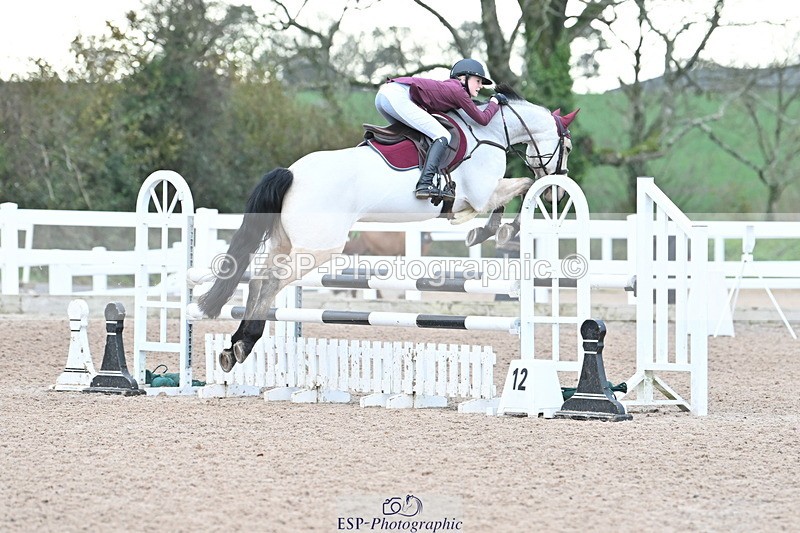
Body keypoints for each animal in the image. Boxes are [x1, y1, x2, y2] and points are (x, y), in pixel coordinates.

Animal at [198, 83, 578, 372]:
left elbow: (517, 191)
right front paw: (497, 230)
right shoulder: (483, 194)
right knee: (269, 282)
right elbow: (522, 188)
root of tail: (291, 173)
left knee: (259, 279)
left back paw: (235, 347)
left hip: (285, 242)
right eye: (568, 146)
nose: (558, 190)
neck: (490, 132)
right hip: (318, 249)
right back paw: (245, 343)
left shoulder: (480, 196)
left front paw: (484, 230)